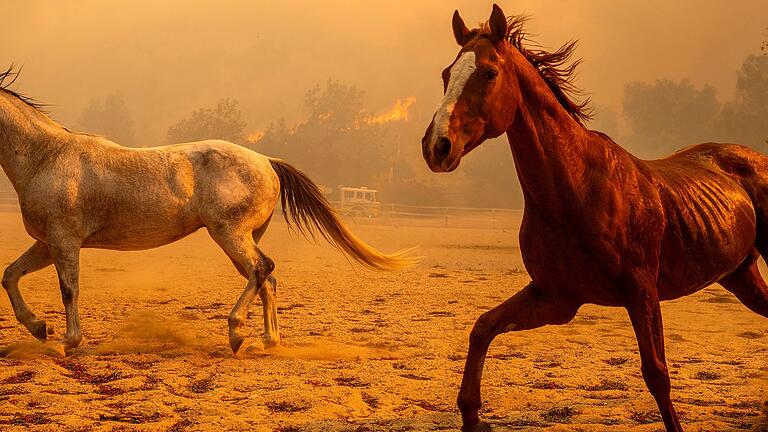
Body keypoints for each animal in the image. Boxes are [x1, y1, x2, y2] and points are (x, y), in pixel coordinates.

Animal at [0, 69, 416, 354]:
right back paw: (267, 341)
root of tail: (266, 161)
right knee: (266, 279)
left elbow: (69, 289)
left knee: (262, 270)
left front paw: (66, 342)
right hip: (241, 238)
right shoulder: (46, 243)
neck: (45, 157)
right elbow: (10, 275)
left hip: (228, 234)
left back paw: (237, 330)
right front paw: (39, 328)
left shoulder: (64, 242)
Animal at [424, 4, 764, 432]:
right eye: (446, 74)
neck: (576, 189)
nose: (437, 147)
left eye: (488, 73)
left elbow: (656, 373)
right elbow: (483, 327)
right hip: (740, 277)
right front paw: (471, 416)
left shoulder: (640, 291)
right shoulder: (557, 298)